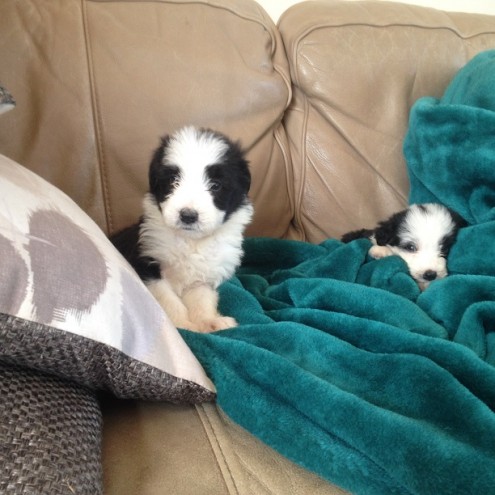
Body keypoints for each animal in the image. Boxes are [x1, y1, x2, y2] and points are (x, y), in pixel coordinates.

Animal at [111, 126, 254, 334]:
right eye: (173, 181)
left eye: (216, 186)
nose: (188, 215)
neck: (190, 241)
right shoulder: (148, 267)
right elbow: (168, 301)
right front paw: (183, 325)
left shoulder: (202, 278)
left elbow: (202, 300)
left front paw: (209, 321)